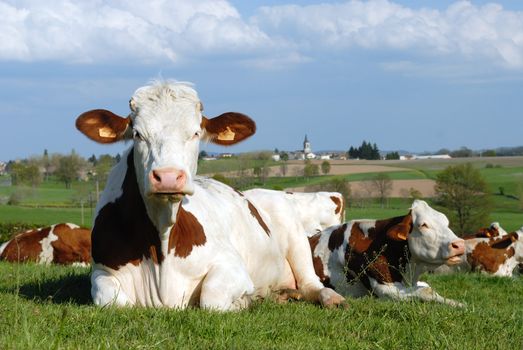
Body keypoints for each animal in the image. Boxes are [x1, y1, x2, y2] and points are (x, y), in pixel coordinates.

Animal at [73, 80, 344, 310]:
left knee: (310, 283)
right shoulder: (102, 271)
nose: (168, 177)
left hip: (296, 236)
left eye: (195, 133)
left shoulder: (232, 265)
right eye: (138, 134)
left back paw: (331, 298)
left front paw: (244, 301)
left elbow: (212, 297)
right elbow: (113, 301)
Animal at [310, 200, 464, 306]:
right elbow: (425, 291)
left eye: (446, 223)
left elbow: (428, 287)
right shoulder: (385, 289)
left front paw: (459, 304)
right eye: (423, 225)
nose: (460, 244)